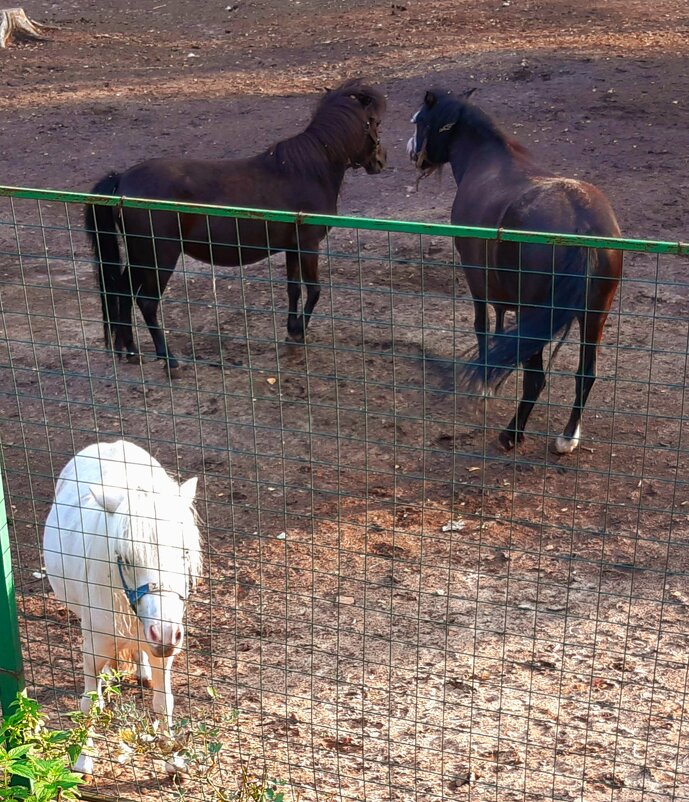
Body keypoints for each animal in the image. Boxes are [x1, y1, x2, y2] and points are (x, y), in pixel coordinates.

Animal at [43, 440, 202, 772]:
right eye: (125, 559)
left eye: (184, 553)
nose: (164, 633)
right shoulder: (93, 648)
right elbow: (89, 702)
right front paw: (83, 760)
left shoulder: (163, 653)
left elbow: (163, 703)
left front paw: (173, 759)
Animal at [84, 79, 388, 370]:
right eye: (374, 122)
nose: (381, 161)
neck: (306, 171)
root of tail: (122, 180)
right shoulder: (308, 245)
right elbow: (314, 290)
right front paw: (299, 331)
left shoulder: (292, 247)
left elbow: (293, 288)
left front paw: (292, 332)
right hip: (159, 258)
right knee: (146, 303)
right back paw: (169, 360)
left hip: (141, 257)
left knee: (122, 292)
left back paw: (130, 351)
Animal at [408, 90, 624, 454]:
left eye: (420, 121)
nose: (411, 149)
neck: (488, 161)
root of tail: (581, 225)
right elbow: (500, 322)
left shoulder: (475, 275)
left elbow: (482, 325)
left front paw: (486, 380)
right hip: (594, 316)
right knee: (585, 375)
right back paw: (568, 437)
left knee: (537, 379)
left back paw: (511, 433)